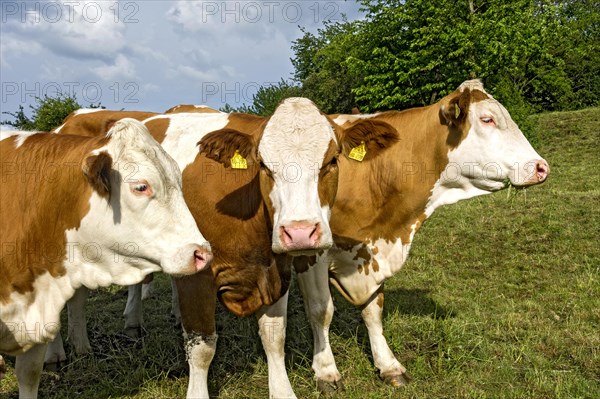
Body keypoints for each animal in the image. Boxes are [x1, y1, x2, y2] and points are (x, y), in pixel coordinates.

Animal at [49, 98, 400, 398]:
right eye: (264, 165)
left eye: (332, 161)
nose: (300, 232)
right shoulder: (196, 274)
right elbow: (202, 347)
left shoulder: (277, 269)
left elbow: (274, 335)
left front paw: (283, 390)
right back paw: (58, 353)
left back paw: (88, 343)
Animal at [292, 79, 552, 392]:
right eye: (487, 119)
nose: (541, 167)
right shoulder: (310, 252)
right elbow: (321, 309)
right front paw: (326, 371)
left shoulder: (372, 252)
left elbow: (373, 310)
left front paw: (388, 365)